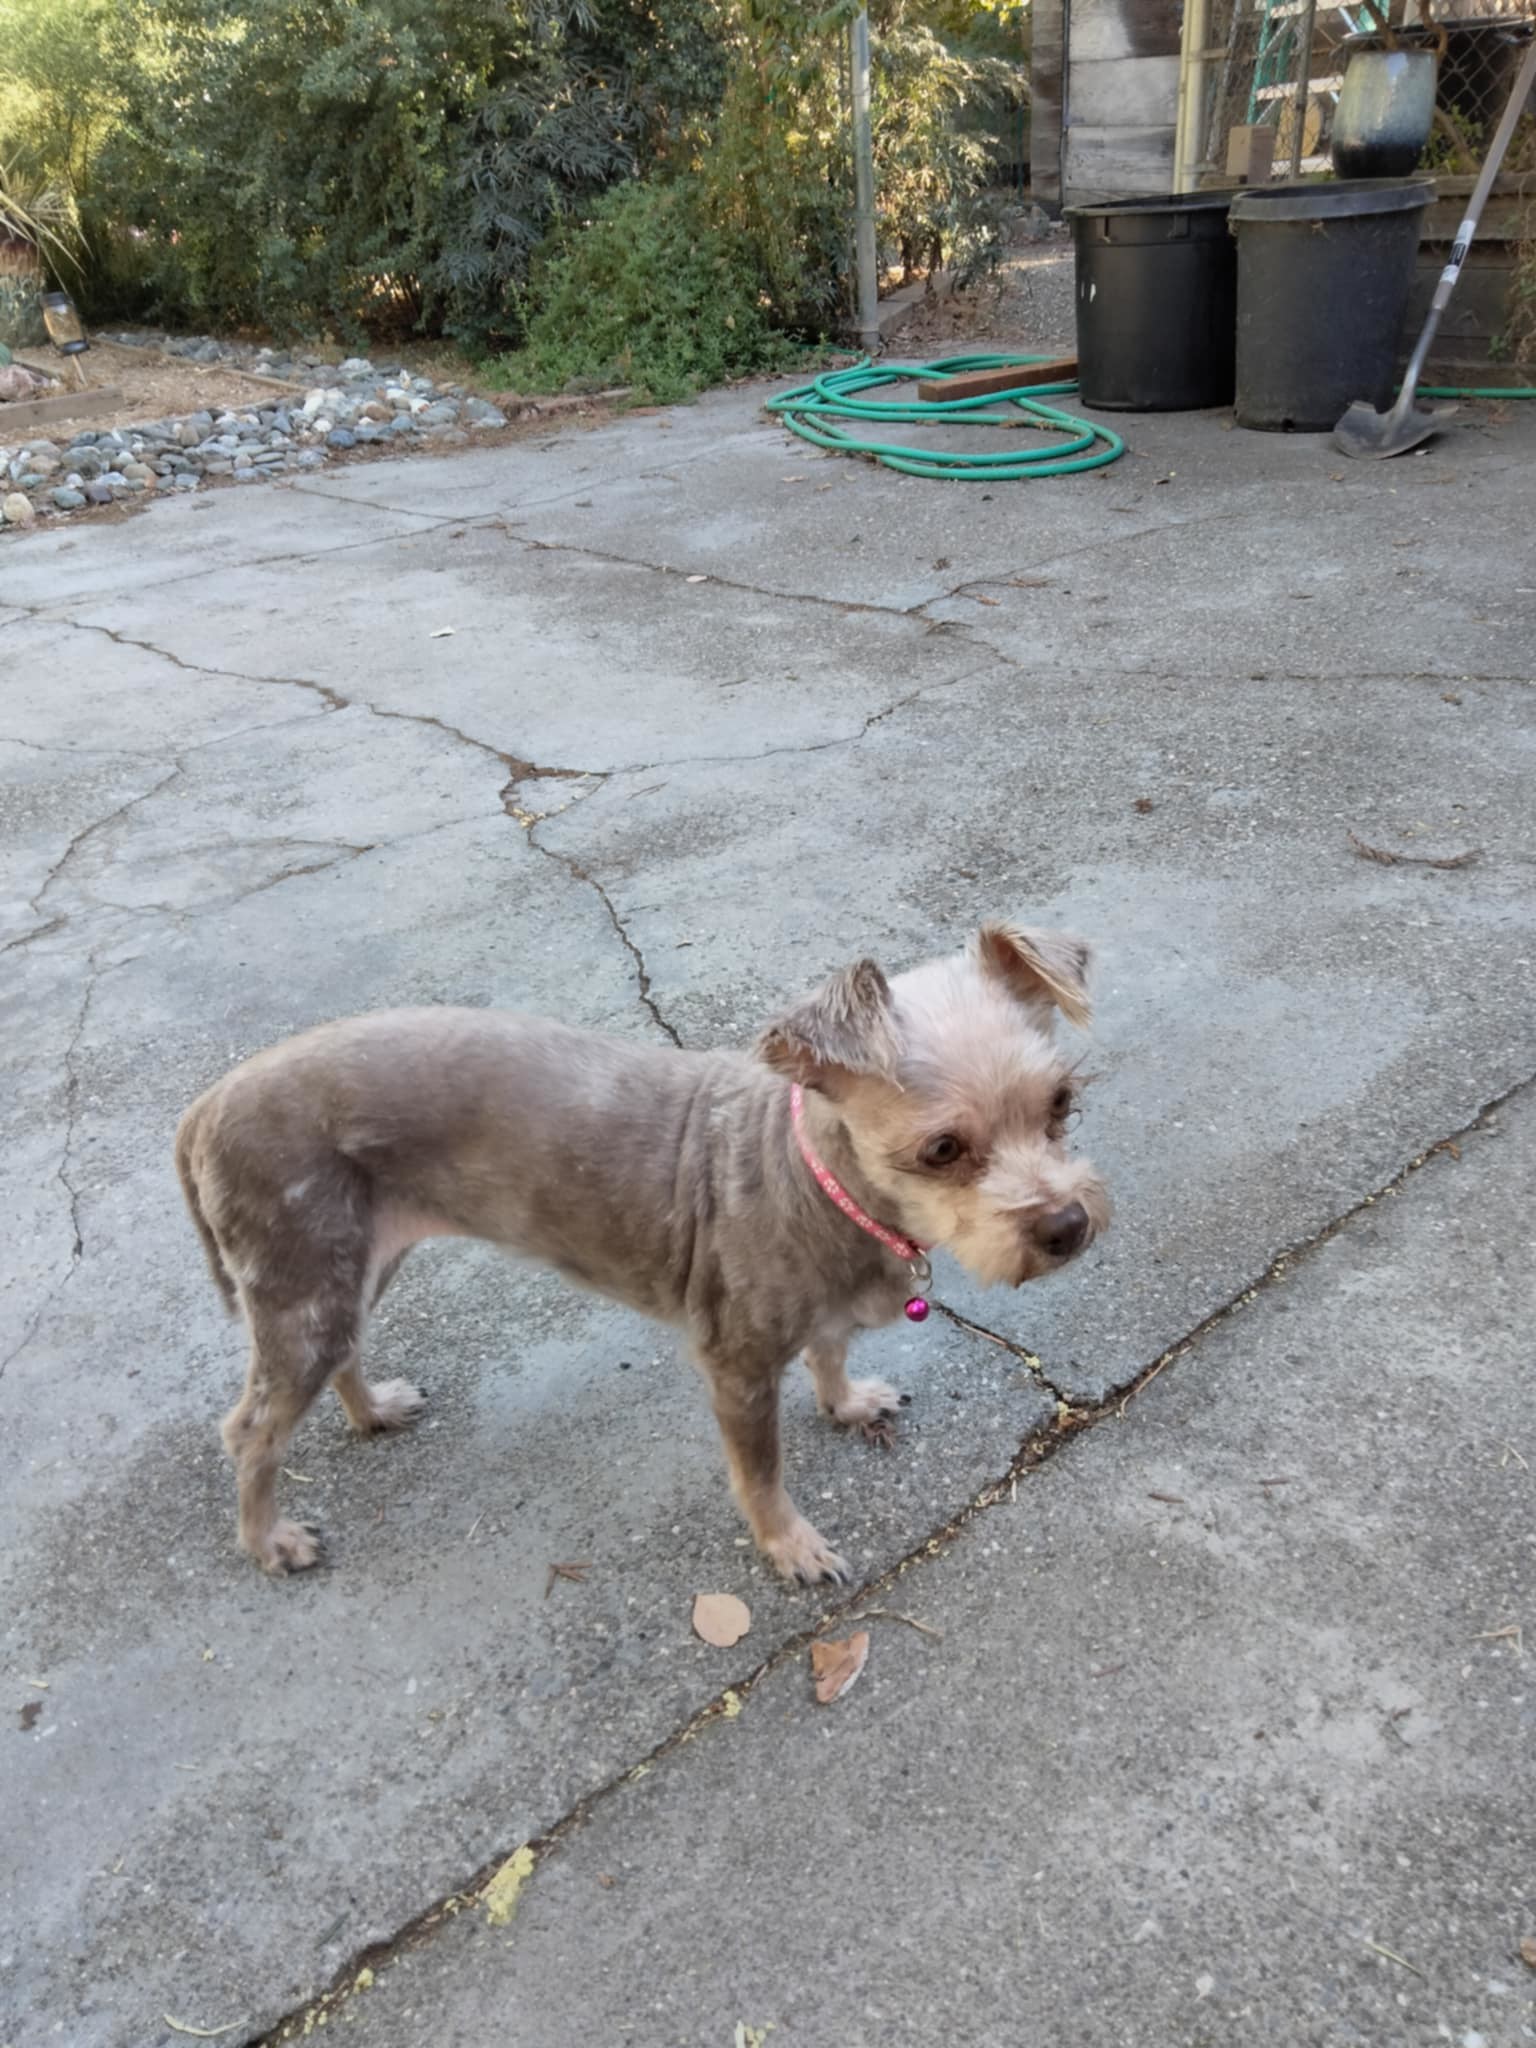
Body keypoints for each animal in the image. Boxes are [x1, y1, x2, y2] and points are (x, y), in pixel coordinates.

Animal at [177, 925, 1105, 1581]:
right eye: (943, 1149)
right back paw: (268, 1540)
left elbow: (830, 1352)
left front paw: (845, 1404)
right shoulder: (736, 1367)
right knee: (251, 1429)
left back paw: (370, 1412)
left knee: (341, 1355)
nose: (1068, 1226)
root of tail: (210, 1101)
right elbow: (761, 1475)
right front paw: (788, 1545)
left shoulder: (820, 1319)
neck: (816, 1182)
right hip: (305, 1282)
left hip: (351, 1267)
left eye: (1060, 1103)